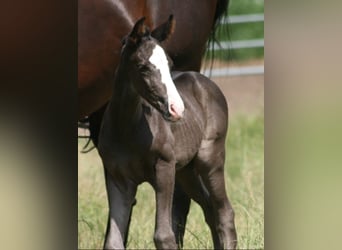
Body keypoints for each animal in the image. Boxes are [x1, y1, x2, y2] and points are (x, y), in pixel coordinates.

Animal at [78, 0, 230, 246]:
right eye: (143, 66)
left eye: (169, 63)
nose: (177, 109)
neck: (127, 128)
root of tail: (204, 81)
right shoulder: (118, 179)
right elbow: (114, 241)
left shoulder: (164, 168)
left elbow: (164, 235)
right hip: (186, 171)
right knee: (209, 208)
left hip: (210, 160)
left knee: (223, 211)